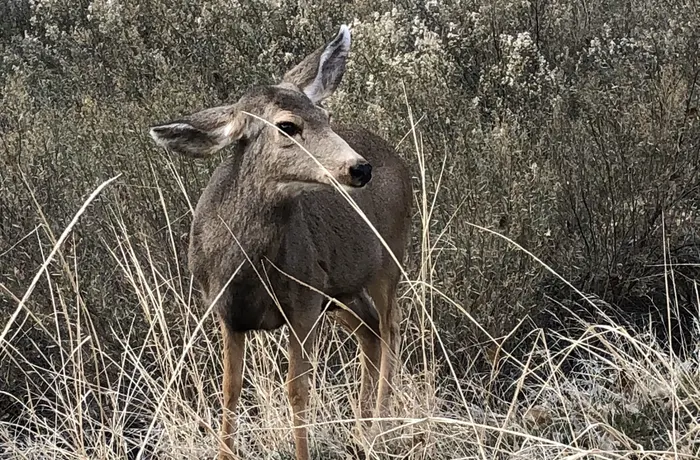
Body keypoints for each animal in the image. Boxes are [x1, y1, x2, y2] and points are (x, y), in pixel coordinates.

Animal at [148, 25, 412, 460]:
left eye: (326, 116)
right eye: (287, 126)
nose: (359, 168)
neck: (246, 266)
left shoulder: (302, 301)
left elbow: (297, 392)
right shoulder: (225, 310)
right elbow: (230, 392)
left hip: (389, 259)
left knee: (391, 329)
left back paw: (380, 428)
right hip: (340, 290)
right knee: (371, 328)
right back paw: (361, 432)